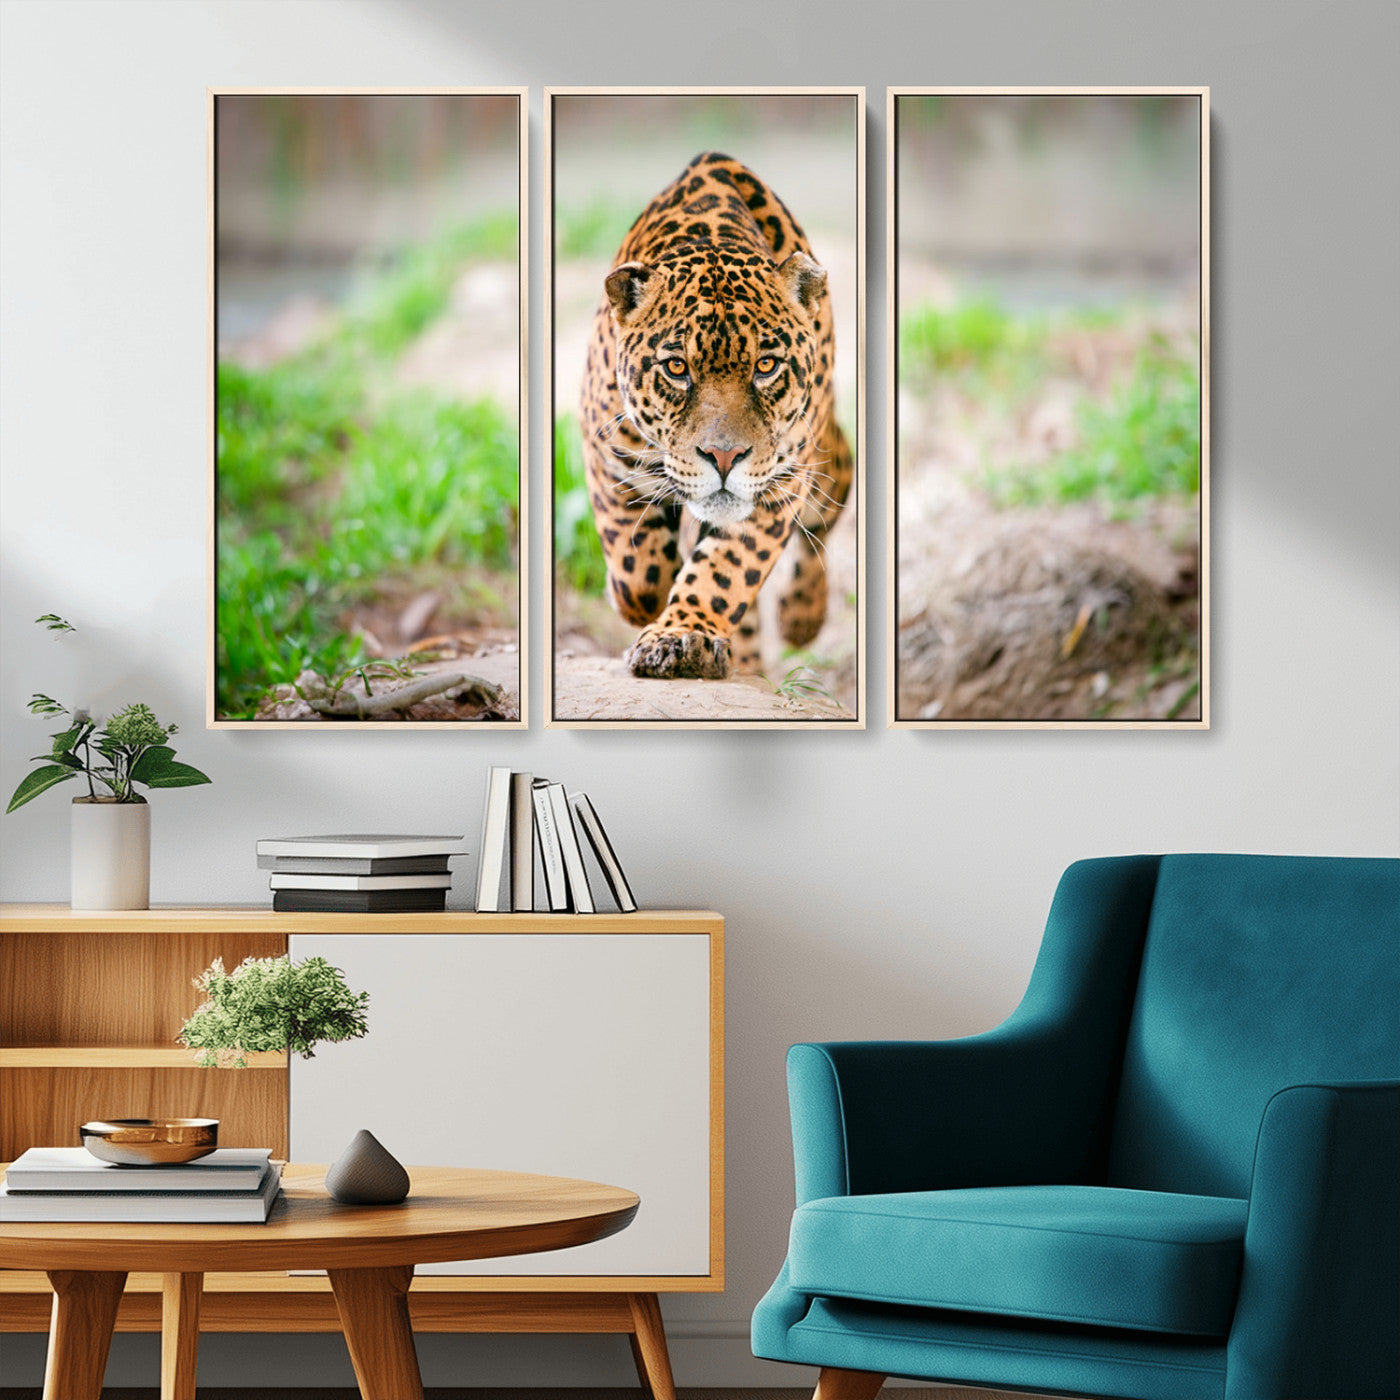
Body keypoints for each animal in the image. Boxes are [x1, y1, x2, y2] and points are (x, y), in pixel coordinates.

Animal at [577, 151, 853, 681]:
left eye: (766, 366)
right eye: (676, 368)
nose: (724, 457)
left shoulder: (779, 483)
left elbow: (725, 570)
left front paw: (683, 636)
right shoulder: (606, 451)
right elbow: (637, 569)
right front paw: (644, 603)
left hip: (823, 461)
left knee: (828, 508)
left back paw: (801, 617)